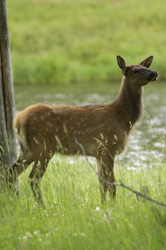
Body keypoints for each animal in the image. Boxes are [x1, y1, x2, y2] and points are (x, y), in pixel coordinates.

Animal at [5, 55, 158, 203]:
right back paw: (41, 205)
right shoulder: (107, 146)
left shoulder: (99, 153)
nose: (155, 73)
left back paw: (13, 201)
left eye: (145, 67)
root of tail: (17, 120)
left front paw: (104, 205)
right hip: (44, 146)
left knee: (10, 173)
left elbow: (102, 184)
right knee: (33, 178)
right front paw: (115, 205)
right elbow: (112, 184)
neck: (123, 117)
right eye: (135, 70)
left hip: (28, 149)